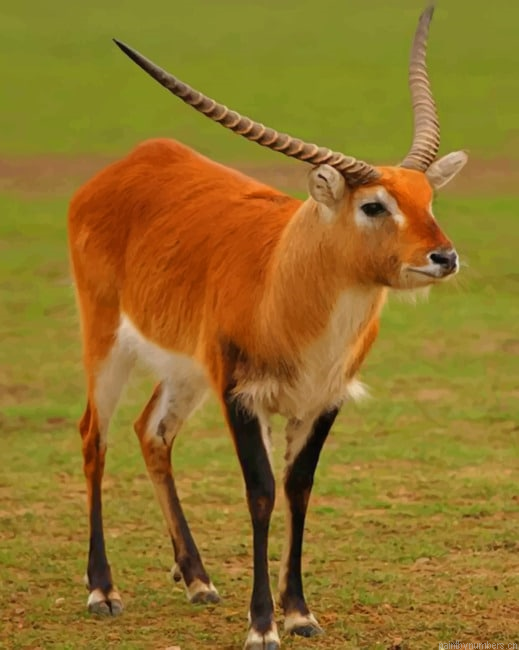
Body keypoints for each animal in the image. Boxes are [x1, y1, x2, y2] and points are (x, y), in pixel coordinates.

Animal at [67, 5, 467, 649]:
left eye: (428, 197)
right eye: (374, 204)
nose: (444, 257)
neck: (283, 285)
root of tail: (136, 160)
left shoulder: (322, 400)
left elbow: (298, 489)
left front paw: (299, 613)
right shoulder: (241, 395)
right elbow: (260, 492)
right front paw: (262, 626)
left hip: (185, 371)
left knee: (151, 431)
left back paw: (197, 580)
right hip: (105, 342)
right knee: (92, 436)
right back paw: (103, 591)